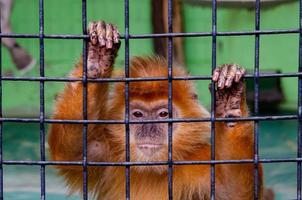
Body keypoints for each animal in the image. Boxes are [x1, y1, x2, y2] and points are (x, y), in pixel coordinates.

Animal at [48, 20, 264, 200]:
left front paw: (230, 102)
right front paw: (97, 60)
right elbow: (73, 154)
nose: (149, 129)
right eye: (138, 115)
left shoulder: (202, 161)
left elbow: (235, 194)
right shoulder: (105, 154)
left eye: (163, 114)